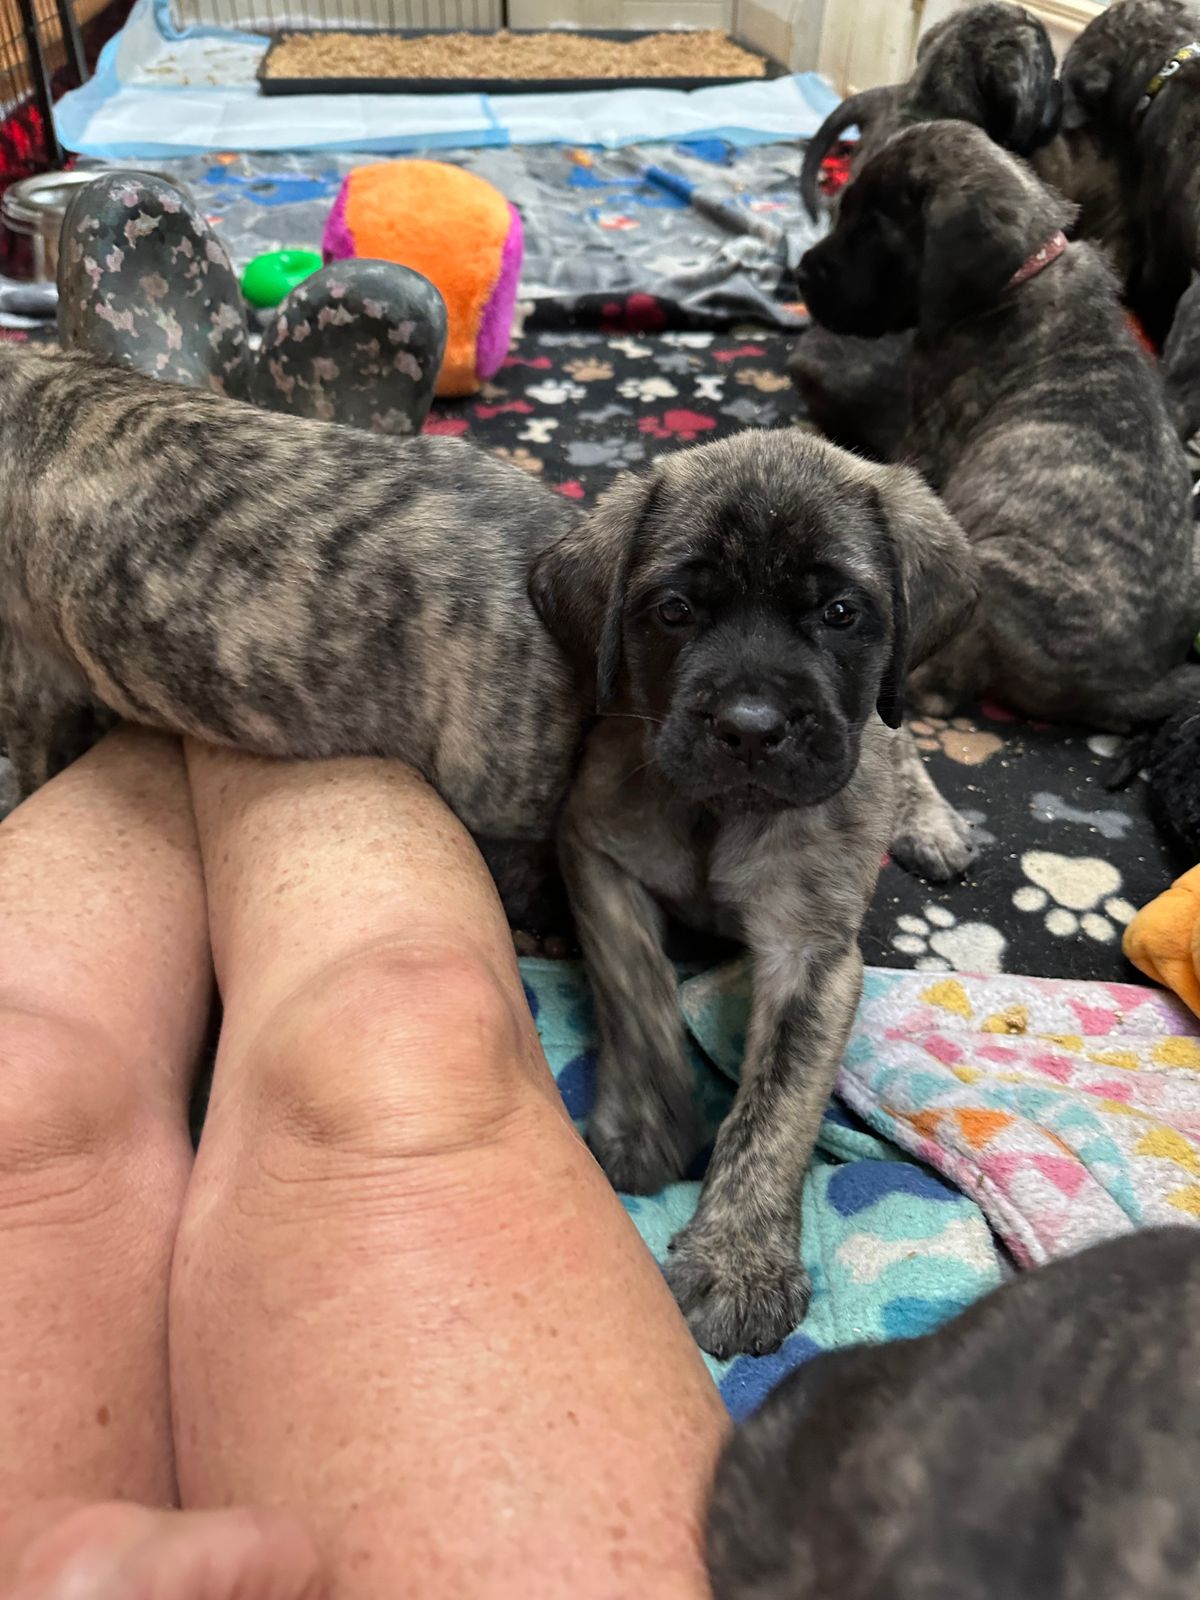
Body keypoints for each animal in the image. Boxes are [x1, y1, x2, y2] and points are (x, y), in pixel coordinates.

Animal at [529, 427, 979, 1358]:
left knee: (899, 737)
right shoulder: (596, 849)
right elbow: (637, 987)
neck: (721, 819)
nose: (749, 728)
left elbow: (777, 1108)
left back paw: (930, 820)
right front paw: (648, 1124)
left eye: (840, 613)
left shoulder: (813, 956)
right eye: (674, 611)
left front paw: (738, 1262)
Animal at [799, 121, 1200, 731]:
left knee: (940, 688)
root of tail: (1131, 692)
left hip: (989, 567)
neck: (1022, 273)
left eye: (874, 228)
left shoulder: (930, 437)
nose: (799, 274)